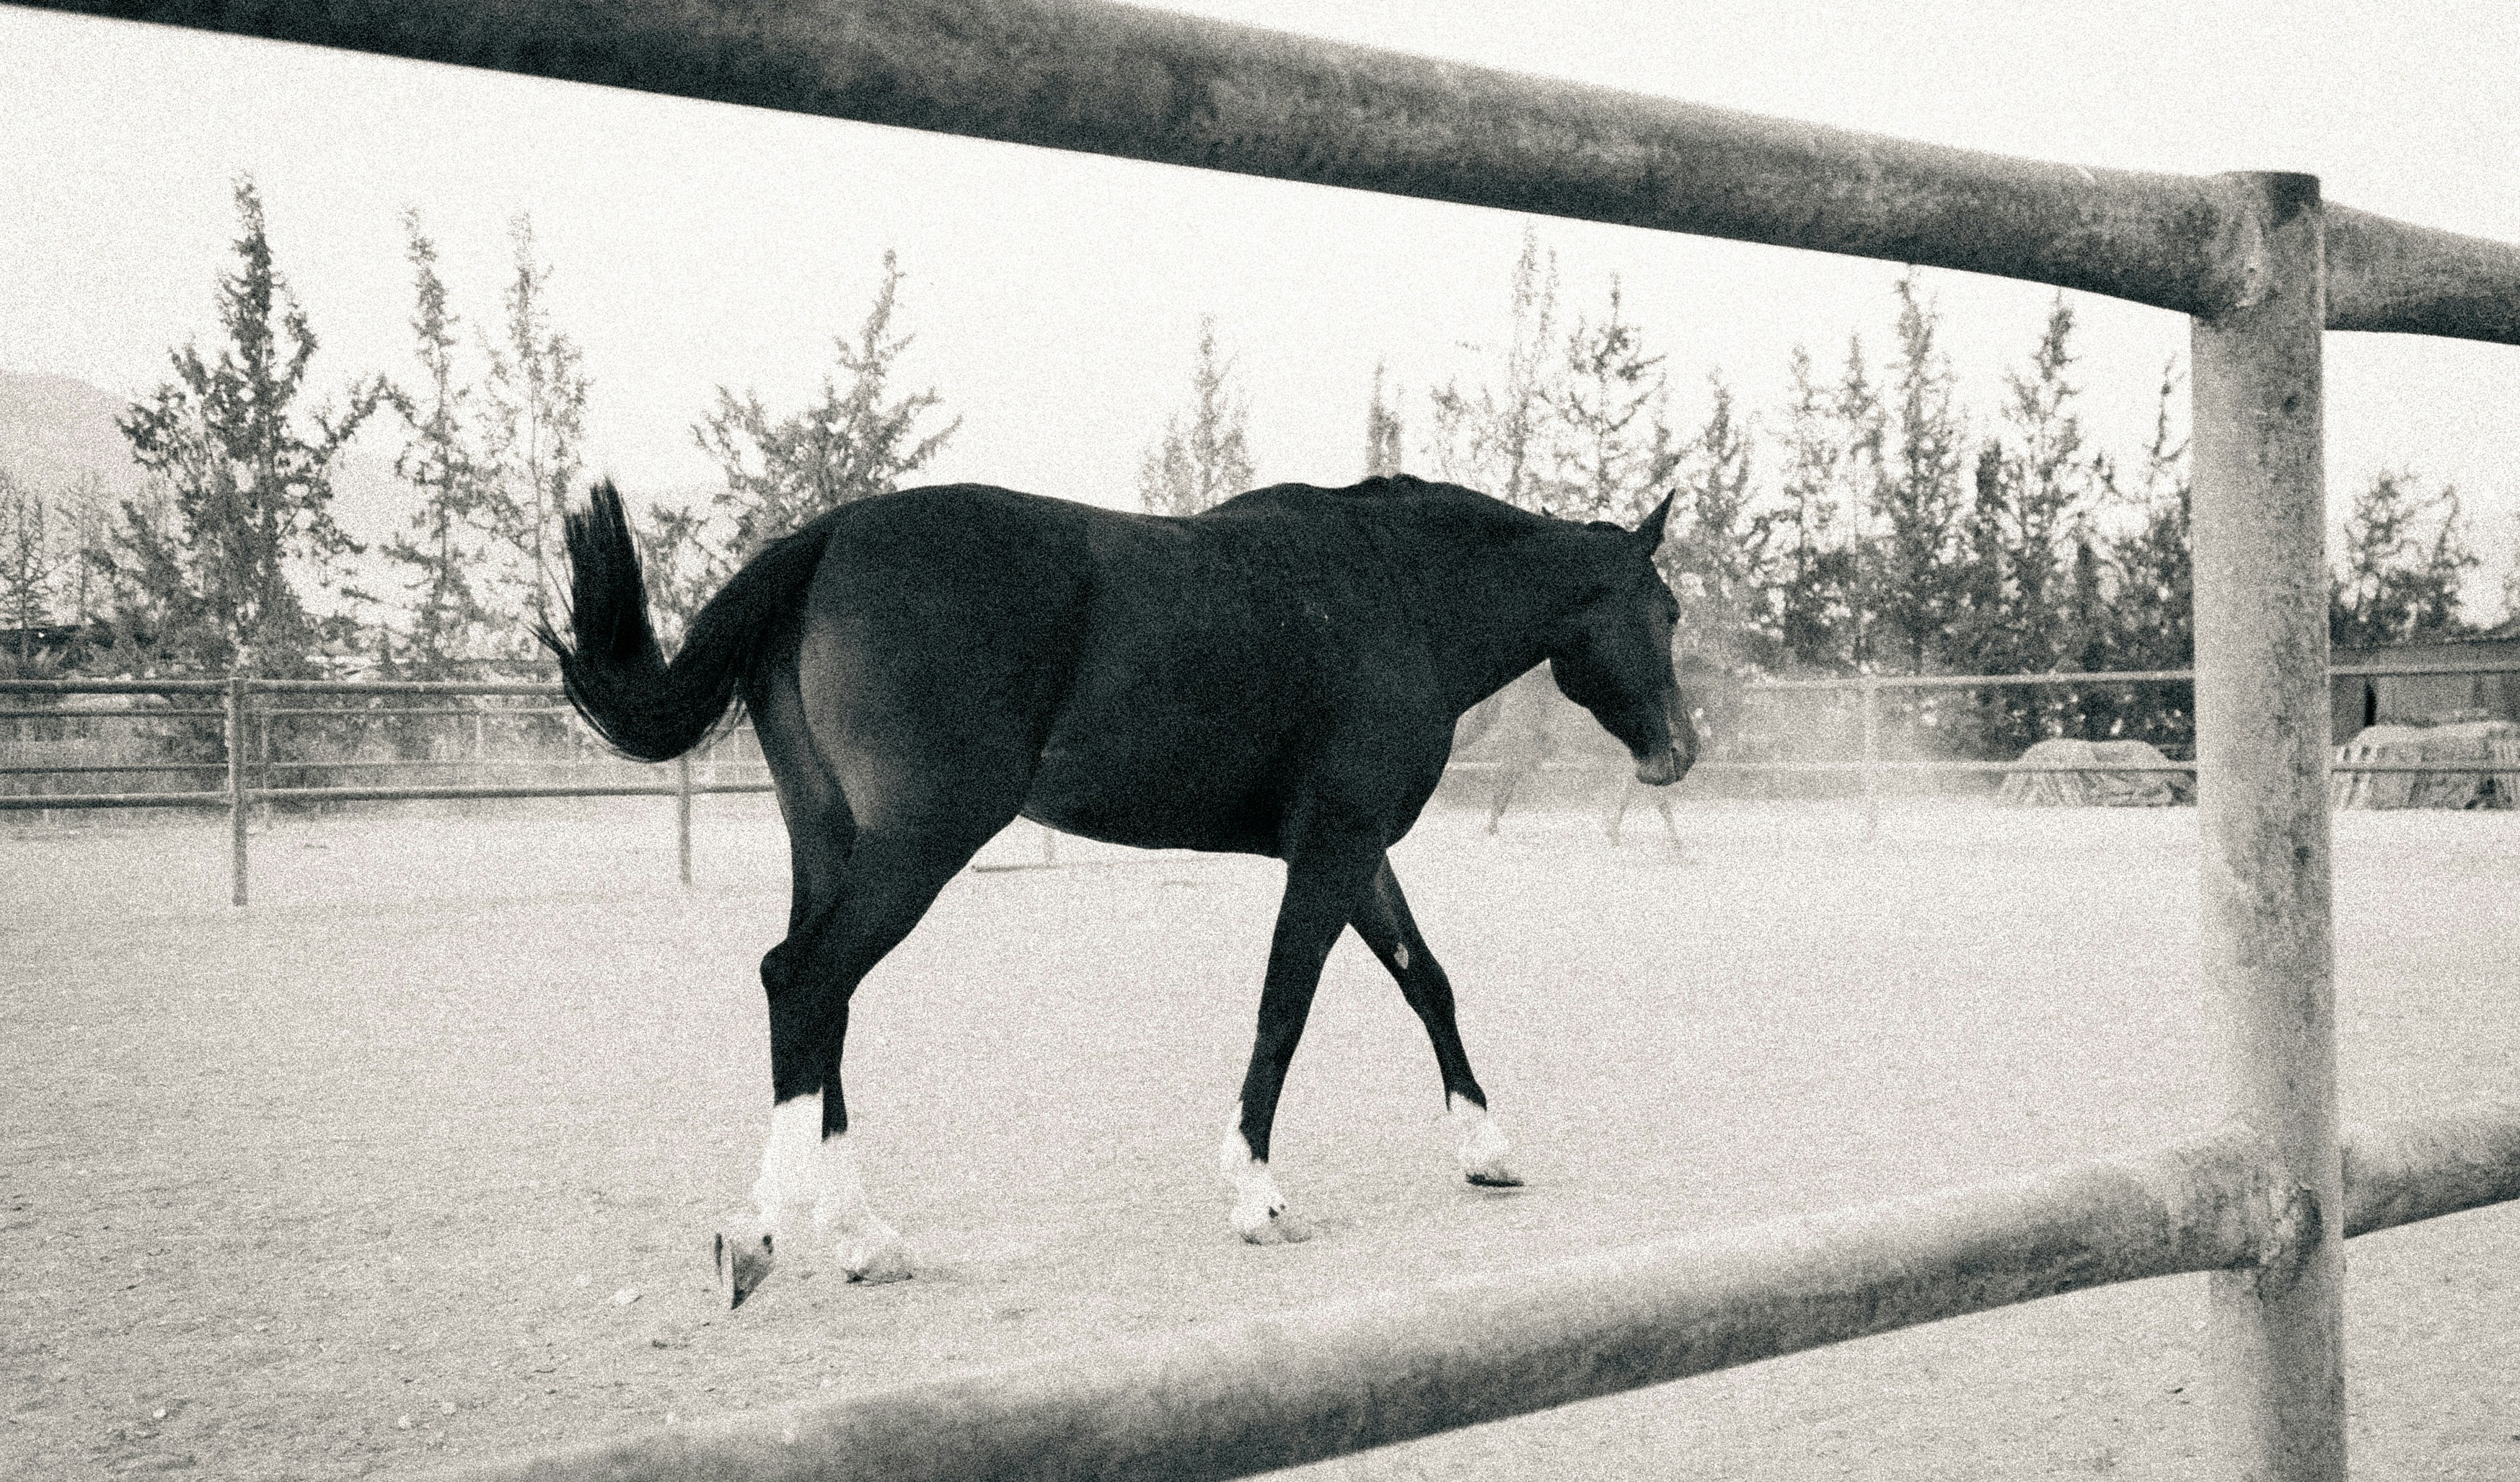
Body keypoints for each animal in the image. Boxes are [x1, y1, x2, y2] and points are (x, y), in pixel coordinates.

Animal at [538, 472, 1695, 1305]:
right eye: (1668, 609)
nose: (1680, 750)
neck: (1389, 591)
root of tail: (832, 537)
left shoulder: (1356, 851)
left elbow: (1427, 980)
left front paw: (1485, 1149)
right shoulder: (1333, 849)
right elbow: (1284, 1006)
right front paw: (1257, 1197)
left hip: (830, 843)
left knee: (820, 1005)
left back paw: (862, 1237)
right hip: (918, 845)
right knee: (806, 979)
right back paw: (765, 1237)